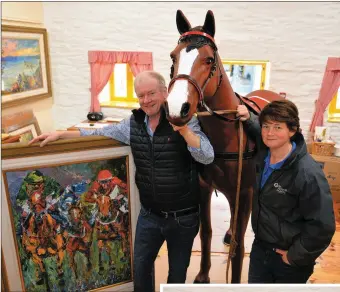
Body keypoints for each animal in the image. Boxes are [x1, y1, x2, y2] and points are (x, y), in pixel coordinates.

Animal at [165, 9, 284, 282]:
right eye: (173, 57)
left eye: (209, 60)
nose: (177, 108)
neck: (227, 134)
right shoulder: (204, 187)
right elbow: (206, 232)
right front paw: (202, 274)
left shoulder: (244, 192)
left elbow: (240, 248)